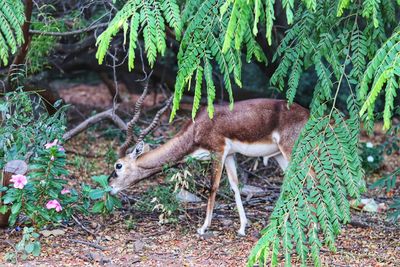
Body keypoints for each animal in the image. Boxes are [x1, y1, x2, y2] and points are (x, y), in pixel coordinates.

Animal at [109, 86, 310, 237]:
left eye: (118, 165)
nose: (110, 187)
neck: (196, 129)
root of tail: (308, 113)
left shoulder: (217, 151)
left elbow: (213, 187)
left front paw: (203, 228)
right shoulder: (229, 155)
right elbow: (235, 186)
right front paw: (242, 228)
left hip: (292, 150)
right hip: (279, 155)